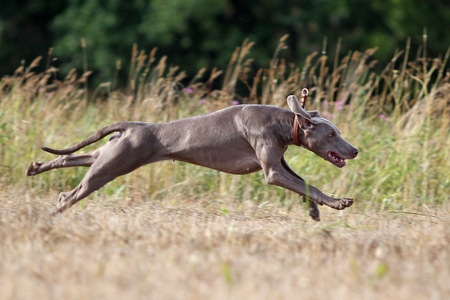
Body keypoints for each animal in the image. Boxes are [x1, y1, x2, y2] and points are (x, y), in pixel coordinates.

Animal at [27, 94, 358, 220]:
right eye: (332, 134)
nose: (355, 150)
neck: (282, 123)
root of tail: (133, 125)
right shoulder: (273, 172)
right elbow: (309, 185)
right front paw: (338, 202)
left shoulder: (280, 164)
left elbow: (305, 184)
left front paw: (315, 211)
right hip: (113, 165)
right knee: (72, 193)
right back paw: (53, 214)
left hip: (110, 153)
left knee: (70, 159)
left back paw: (35, 167)